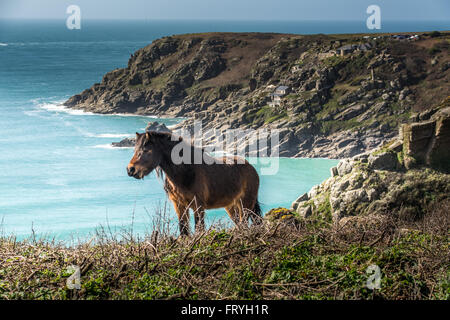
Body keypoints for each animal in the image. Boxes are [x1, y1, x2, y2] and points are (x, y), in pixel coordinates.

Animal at [125, 131, 260, 235]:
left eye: (146, 150)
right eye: (135, 149)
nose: (130, 169)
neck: (186, 171)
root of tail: (251, 168)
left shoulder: (198, 206)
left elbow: (199, 229)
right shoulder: (179, 206)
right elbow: (184, 231)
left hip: (246, 205)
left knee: (244, 225)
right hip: (231, 206)